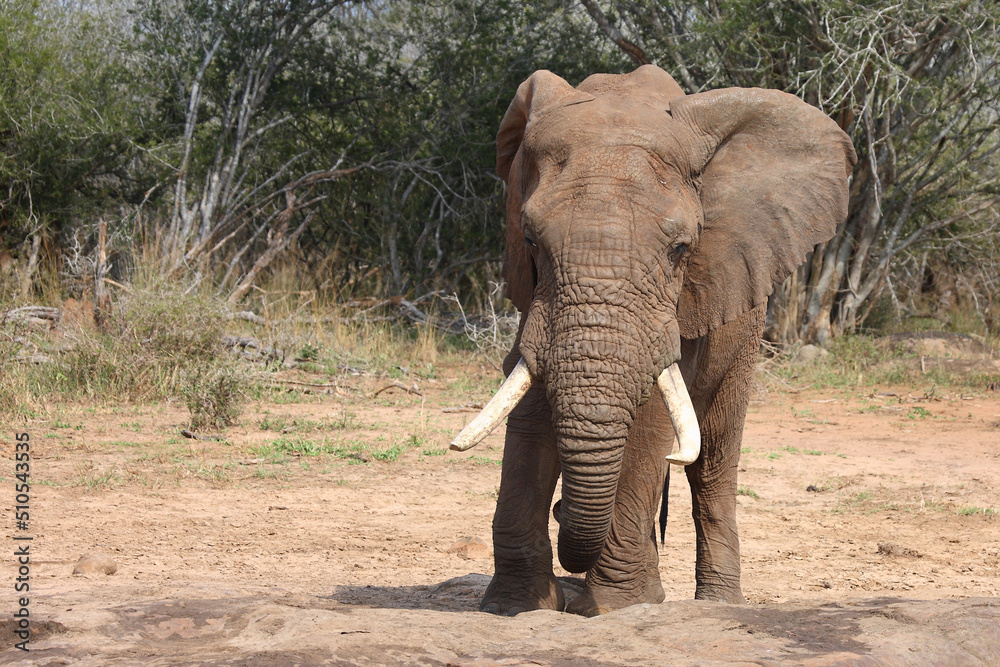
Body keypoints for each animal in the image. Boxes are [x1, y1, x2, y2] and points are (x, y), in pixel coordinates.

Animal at [450, 65, 856, 617]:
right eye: (530, 240)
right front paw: (520, 605)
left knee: (712, 459)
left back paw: (717, 603)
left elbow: (650, 425)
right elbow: (528, 407)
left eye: (680, 249)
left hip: (745, 327)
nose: (562, 512)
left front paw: (615, 607)